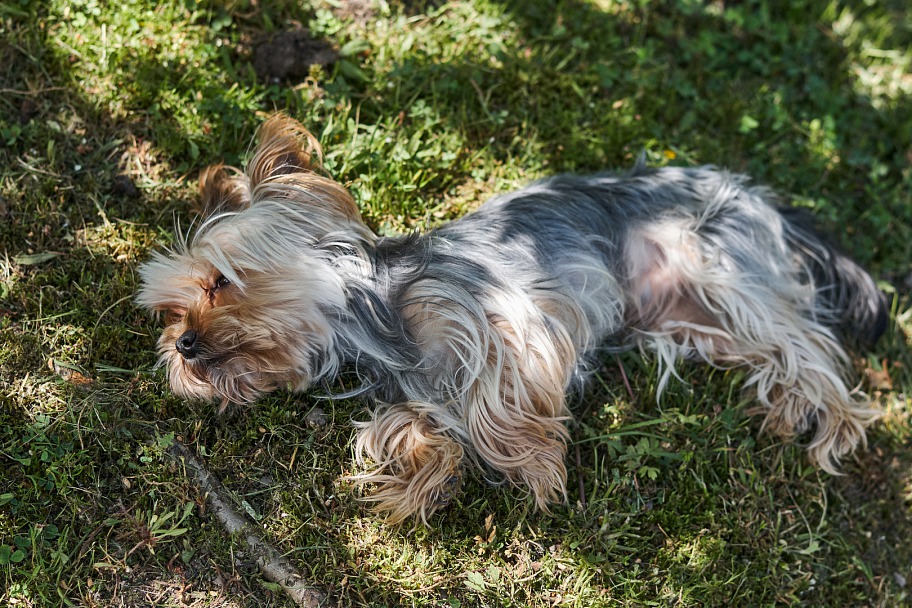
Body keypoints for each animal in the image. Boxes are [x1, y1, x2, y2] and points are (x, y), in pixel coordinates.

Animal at [139, 113, 888, 524]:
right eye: (171, 315)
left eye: (219, 281)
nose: (184, 346)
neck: (374, 323)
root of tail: (755, 192)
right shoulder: (411, 384)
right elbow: (401, 426)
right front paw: (425, 475)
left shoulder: (509, 314)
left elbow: (495, 398)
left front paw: (532, 462)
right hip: (688, 319)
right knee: (773, 349)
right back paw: (789, 406)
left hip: (717, 263)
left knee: (809, 343)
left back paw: (831, 423)